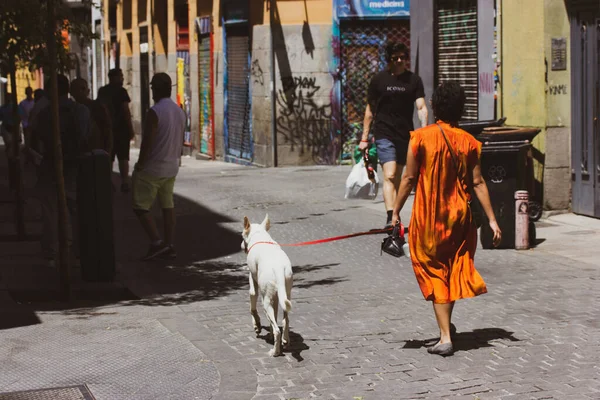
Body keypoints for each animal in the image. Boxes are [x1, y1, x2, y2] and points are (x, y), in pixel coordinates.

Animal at [241, 214, 292, 358]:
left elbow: (252, 303)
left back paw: (275, 351)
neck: (260, 237)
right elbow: (274, 316)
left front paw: (257, 326)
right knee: (285, 321)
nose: (240, 246)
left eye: (241, 235)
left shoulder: (252, 279)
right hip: (284, 294)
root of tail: (279, 268)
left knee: (277, 330)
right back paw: (285, 340)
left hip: (265, 301)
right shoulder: (275, 297)